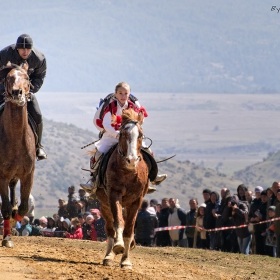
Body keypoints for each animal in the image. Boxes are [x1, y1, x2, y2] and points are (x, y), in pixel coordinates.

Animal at [95, 107, 149, 270]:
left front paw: (125, 260)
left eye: (140, 135)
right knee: (110, 228)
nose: (131, 160)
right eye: (123, 134)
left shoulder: (137, 201)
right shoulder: (114, 195)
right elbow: (118, 222)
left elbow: (129, 229)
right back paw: (108, 256)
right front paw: (118, 246)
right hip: (104, 205)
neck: (128, 172)